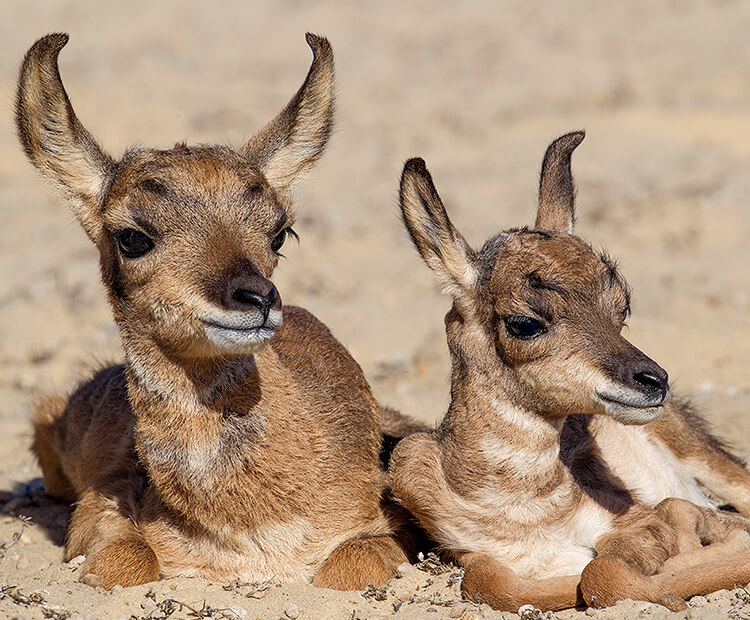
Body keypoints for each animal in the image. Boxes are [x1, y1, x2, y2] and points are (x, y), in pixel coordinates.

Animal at [390, 133, 750, 612]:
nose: (653, 380)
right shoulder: (471, 554)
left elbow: (605, 571)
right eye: (524, 322)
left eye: (620, 306)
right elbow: (490, 580)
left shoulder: (638, 521)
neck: (527, 513)